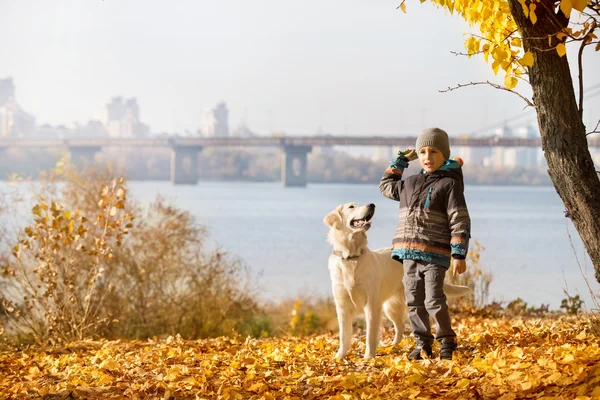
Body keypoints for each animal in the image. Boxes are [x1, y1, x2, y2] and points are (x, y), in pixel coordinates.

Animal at [326, 203, 472, 360]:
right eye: (351, 206)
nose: (372, 205)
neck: (352, 257)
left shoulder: (371, 305)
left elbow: (370, 335)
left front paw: (369, 357)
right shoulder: (342, 307)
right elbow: (343, 336)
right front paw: (339, 357)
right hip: (390, 307)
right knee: (400, 327)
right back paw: (393, 346)